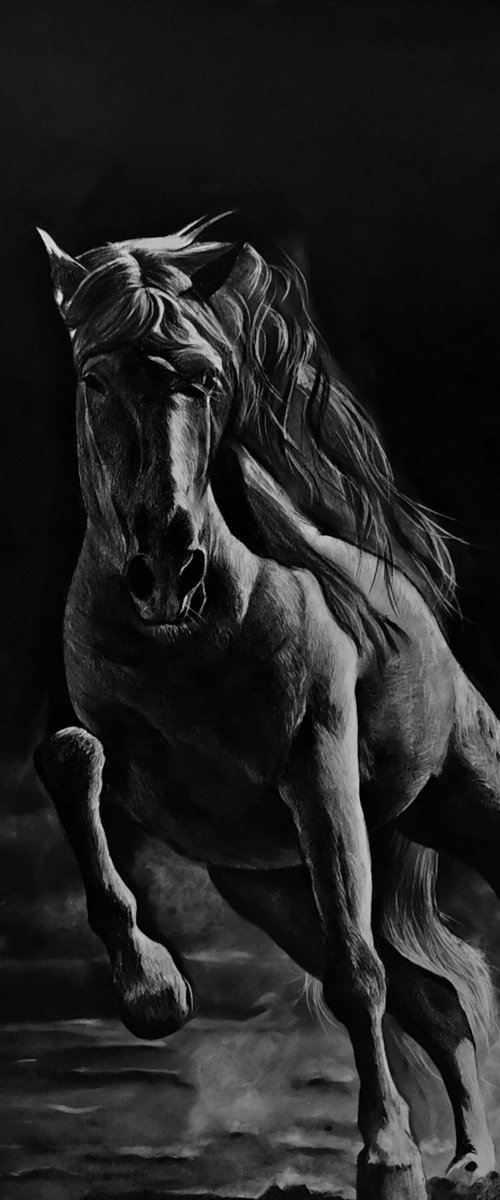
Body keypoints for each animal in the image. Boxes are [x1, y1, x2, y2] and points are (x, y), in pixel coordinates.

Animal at [34, 217, 500, 1200]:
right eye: (94, 377)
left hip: (452, 803)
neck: (192, 640)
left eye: (205, 378)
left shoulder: (319, 779)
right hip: (273, 891)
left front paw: (386, 1158)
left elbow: (357, 976)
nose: (166, 569)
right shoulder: (146, 777)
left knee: (401, 978)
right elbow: (69, 758)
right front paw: (153, 993)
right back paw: (472, 1161)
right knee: (437, 1002)